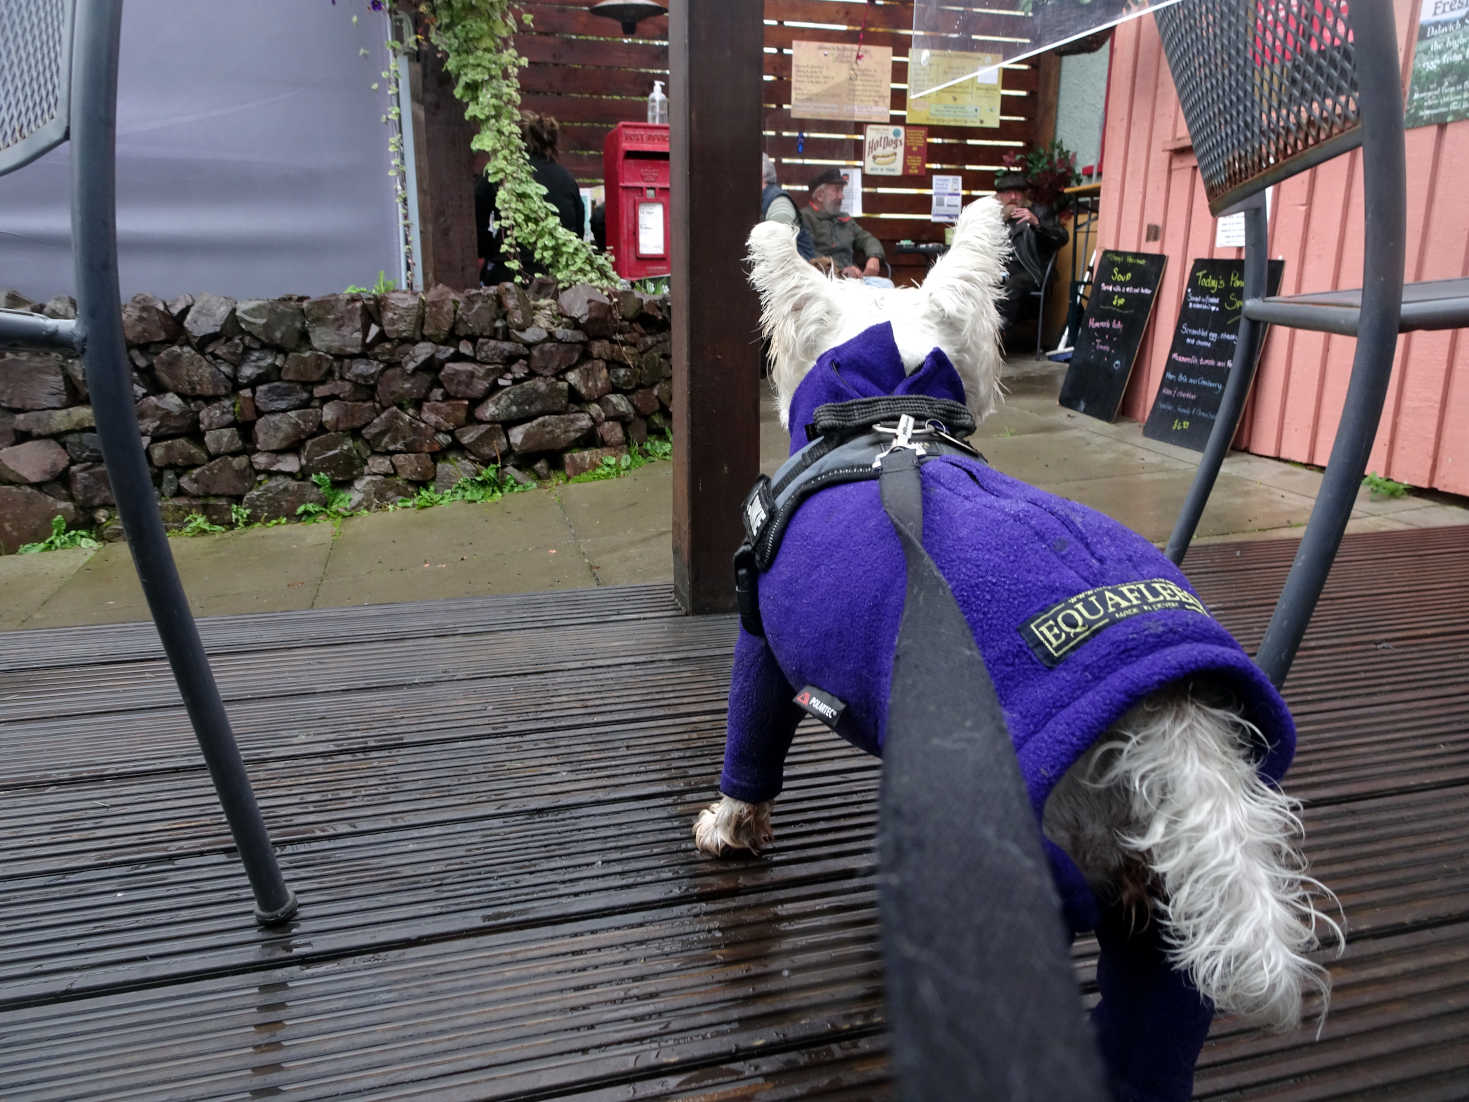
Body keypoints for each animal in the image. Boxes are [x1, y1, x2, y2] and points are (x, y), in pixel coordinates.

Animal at [693, 198, 1339, 1063]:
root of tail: (1167, 716)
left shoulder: (760, 643)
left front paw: (729, 827)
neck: (887, 417)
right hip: (1165, 909)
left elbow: (750, 748)